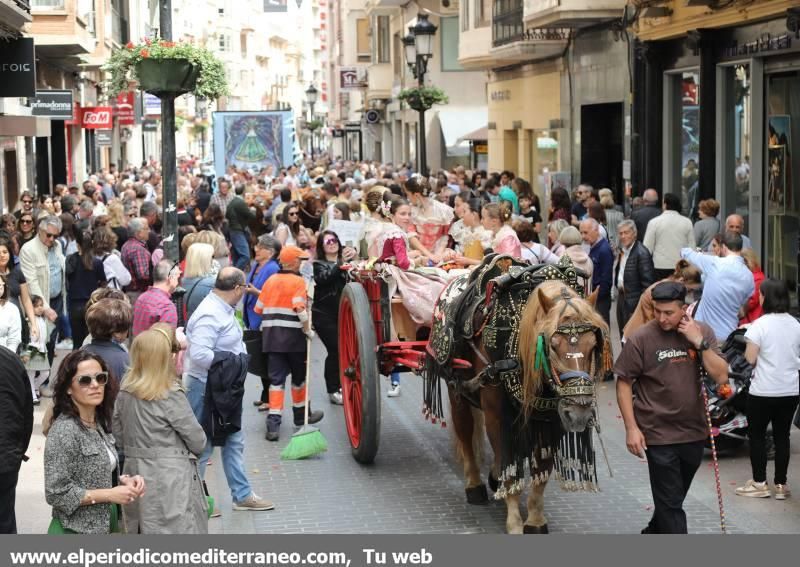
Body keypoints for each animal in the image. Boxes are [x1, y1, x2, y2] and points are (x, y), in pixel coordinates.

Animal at [424, 260, 612, 536]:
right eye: (552, 345)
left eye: (593, 345)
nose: (579, 412)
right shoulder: (499, 417)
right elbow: (509, 464)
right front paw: (514, 521)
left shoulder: (551, 421)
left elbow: (541, 469)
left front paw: (534, 520)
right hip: (457, 389)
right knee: (466, 434)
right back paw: (474, 484)